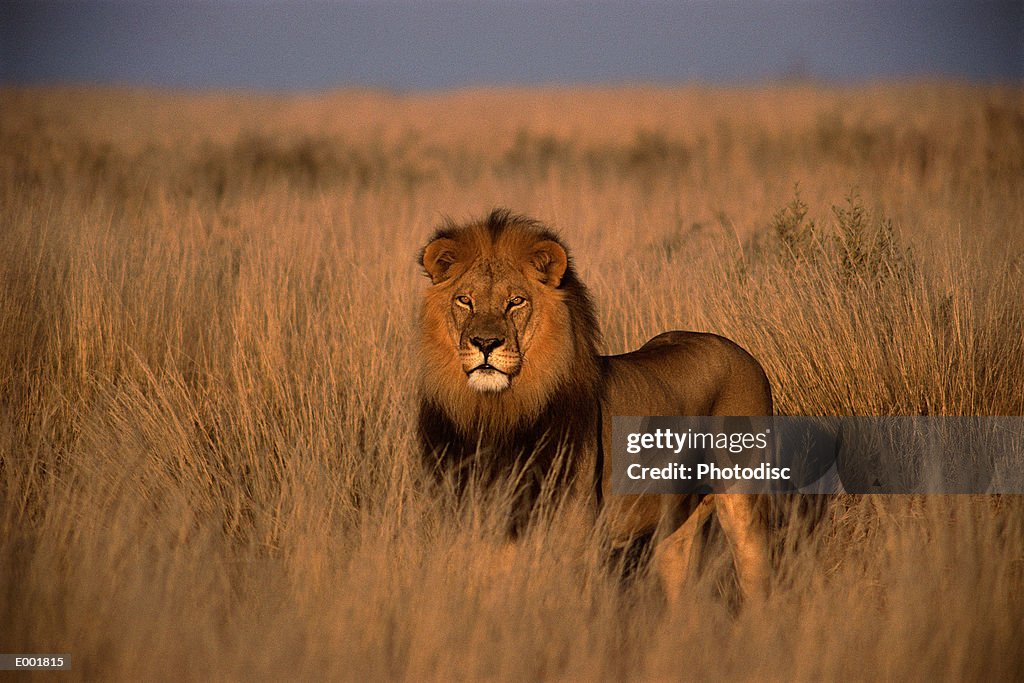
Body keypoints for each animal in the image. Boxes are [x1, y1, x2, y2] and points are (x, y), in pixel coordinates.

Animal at [413, 209, 770, 602]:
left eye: (516, 301)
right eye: (465, 300)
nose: (485, 343)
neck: (498, 416)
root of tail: (740, 352)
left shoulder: (574, 538)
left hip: (744, 503)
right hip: (675, 524)